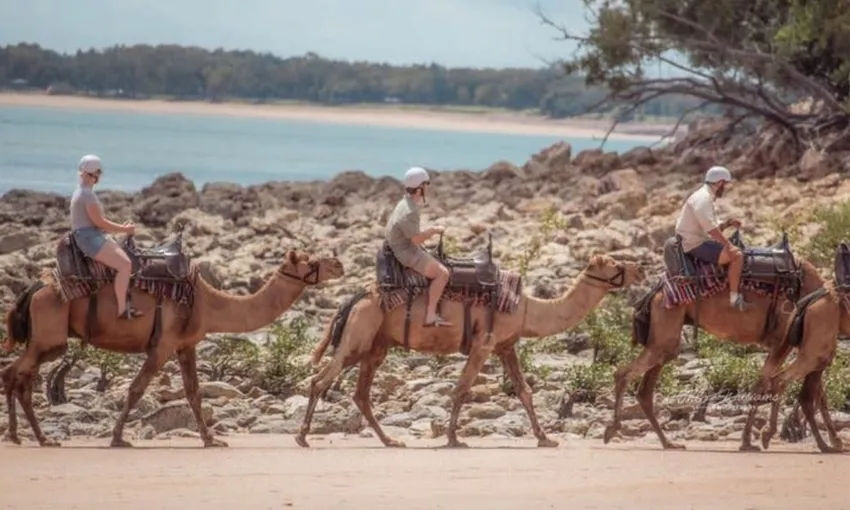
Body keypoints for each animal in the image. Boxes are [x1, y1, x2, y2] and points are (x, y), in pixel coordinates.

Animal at [2, 232, 344, 448]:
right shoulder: (163, 344)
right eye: (310, 260)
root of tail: (35, 287)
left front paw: (211, 439)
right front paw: (118, 438)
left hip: (43, 339)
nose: (338, 264)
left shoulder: (186, 345)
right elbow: (136, 389)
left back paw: (29, 437)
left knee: (19, 377)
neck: (208, 300)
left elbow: (194, 393)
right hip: (49, 336)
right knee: (15, 375)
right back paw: (35, 437)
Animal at [295, 247, 643, 449]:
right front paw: (453, 438)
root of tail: (356, 298)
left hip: (376, 346)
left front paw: (546, 438)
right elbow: (462, 388)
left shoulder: (506, 346)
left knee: (361, 394)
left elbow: (525, 391)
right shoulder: (483, 344)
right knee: (321, 380)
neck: (526, 308)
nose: (638, 268)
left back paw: (390, 440)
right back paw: (302, 437)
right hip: (359, 334)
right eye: (614, 263)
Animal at [606, 230, 839, 452]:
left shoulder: (807, 346)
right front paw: (753, 440)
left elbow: (814, 393)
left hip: (665, 336)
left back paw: (668, 443)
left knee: (645, 389)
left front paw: (832, 442)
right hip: (667, 323)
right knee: (624, 373)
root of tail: (657, 290)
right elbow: (768, 384)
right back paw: (613, 429)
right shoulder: (784, 340)